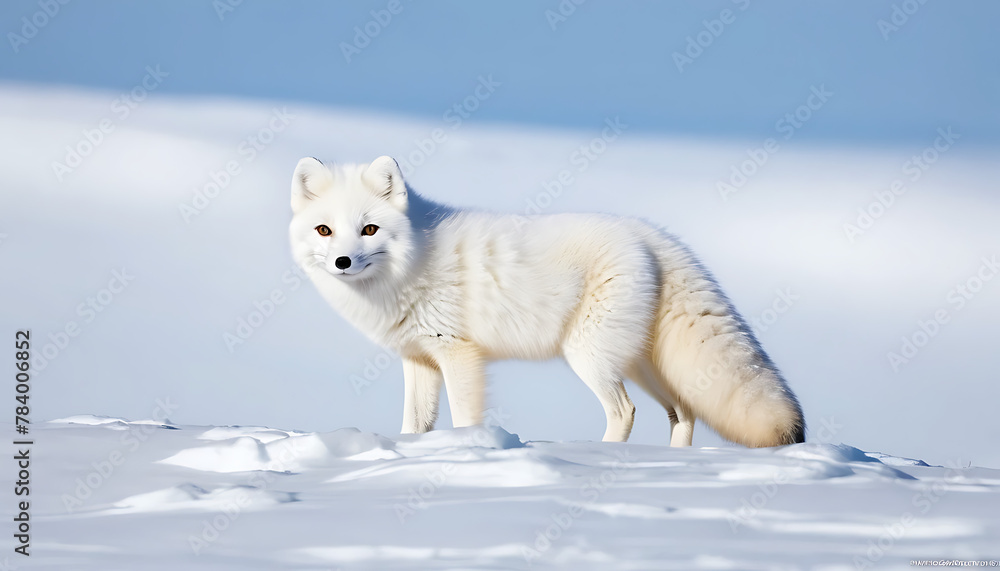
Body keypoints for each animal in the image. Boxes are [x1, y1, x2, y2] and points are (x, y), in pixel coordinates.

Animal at [288, 155, 805, 447]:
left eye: (370, 229)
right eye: (324, 230)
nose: (342, 262)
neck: (411, 262)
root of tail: (649, 233)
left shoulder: (458, 354)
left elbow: (463, 417)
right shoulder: (420, 360)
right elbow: (414, 426)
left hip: (590, 357)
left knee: (626, 411)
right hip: (641, 363)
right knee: (684, 412)